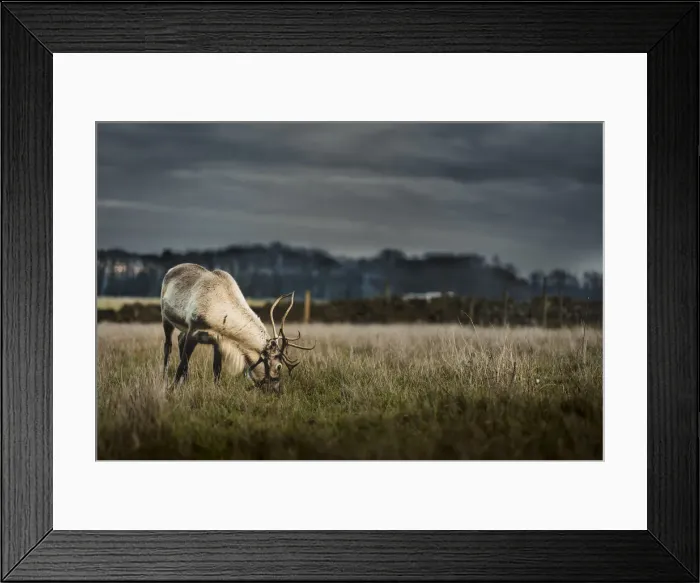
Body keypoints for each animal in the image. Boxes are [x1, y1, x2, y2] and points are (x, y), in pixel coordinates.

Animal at [160, 263, 314, 393]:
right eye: (278, 366)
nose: (279, 391)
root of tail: (170, 270)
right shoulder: (193, 331)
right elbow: (181, 364)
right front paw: (171, 389)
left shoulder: (219, 340)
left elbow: (217, 368)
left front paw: (217, 390)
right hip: (166, 318)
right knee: (168, 346)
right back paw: (165, 378)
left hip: (184, 328)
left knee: (180, 339)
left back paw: (185, 380)